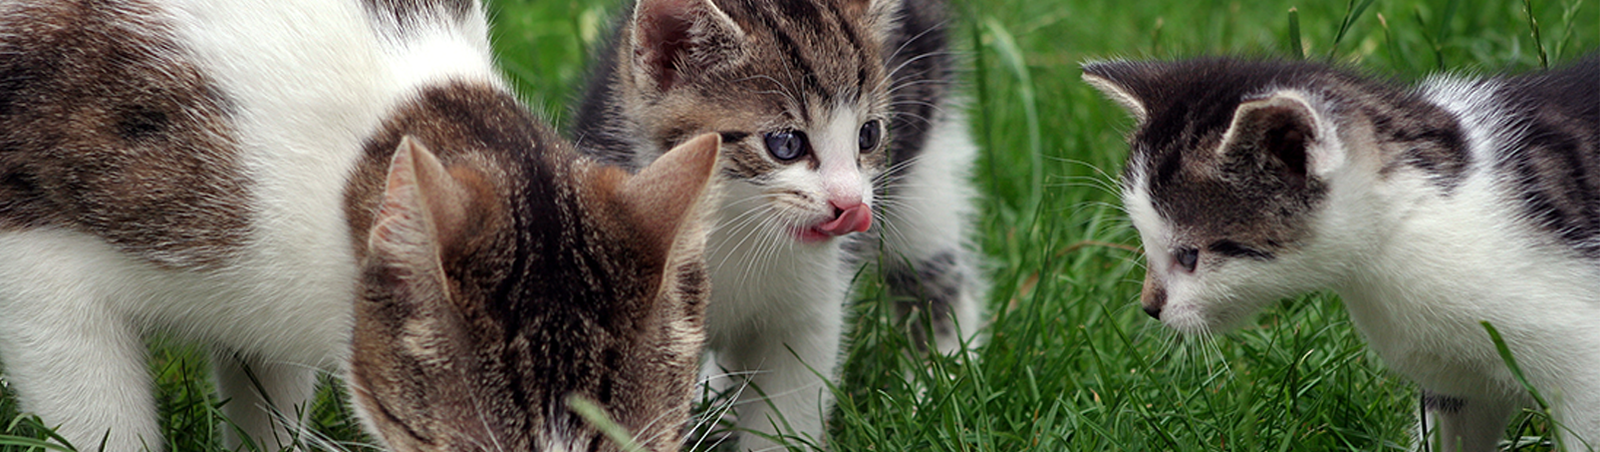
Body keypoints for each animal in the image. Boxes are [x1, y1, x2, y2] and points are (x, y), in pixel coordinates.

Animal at [569, 0, 992, 448]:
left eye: (868, 135)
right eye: (786, 144)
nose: (851, 203)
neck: (733, 230)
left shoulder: (812, 314)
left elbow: (788, 409)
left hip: (927, 168)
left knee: (940, 273)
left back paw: (938, 385)